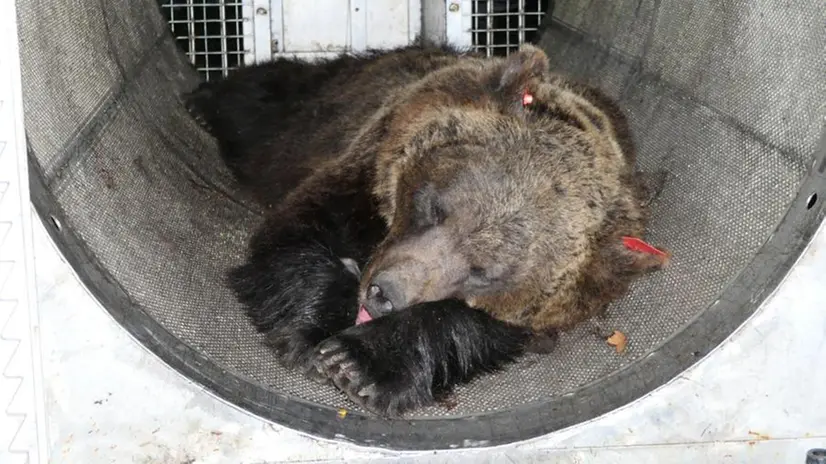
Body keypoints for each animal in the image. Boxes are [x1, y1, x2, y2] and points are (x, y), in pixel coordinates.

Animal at [183, 40, 668, 416]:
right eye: (436, 207)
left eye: (483, 271)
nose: (385, 294)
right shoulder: (359, 171)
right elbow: (297, 235)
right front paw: (312, 333)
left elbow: (470, 327)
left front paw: (356, 362)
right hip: (313, 111)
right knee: (267, 101)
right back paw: (204, 102)